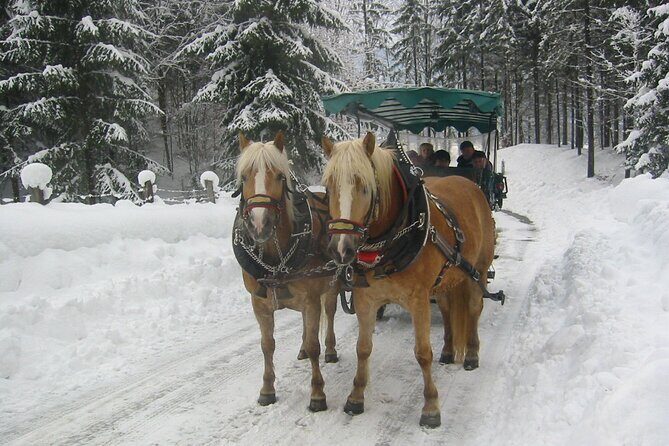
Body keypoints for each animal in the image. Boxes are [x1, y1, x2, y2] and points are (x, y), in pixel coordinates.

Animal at [234, 131, 339, 412]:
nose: (260, 224)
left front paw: (317, 394)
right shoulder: (258, 303)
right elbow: (267, 345)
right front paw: (267, 389)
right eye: (244, 177)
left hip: (331, 285)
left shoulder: (312, 298)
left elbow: (315, 345)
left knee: (330, 313)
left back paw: (331, 350)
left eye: (280, 176)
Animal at [320, 132, 496, 427]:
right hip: (445, 281)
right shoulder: (366, 299)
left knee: (473, 308)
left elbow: (423, 353)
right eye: (328, 187)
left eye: (365, 187)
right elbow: (363, 348)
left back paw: (471, 354)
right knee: (447, 310)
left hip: (477, 271)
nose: (340, 249)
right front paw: (355, 397)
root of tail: (469, 184)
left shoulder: (418, 300)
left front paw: (431, 407)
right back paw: (448, 351)